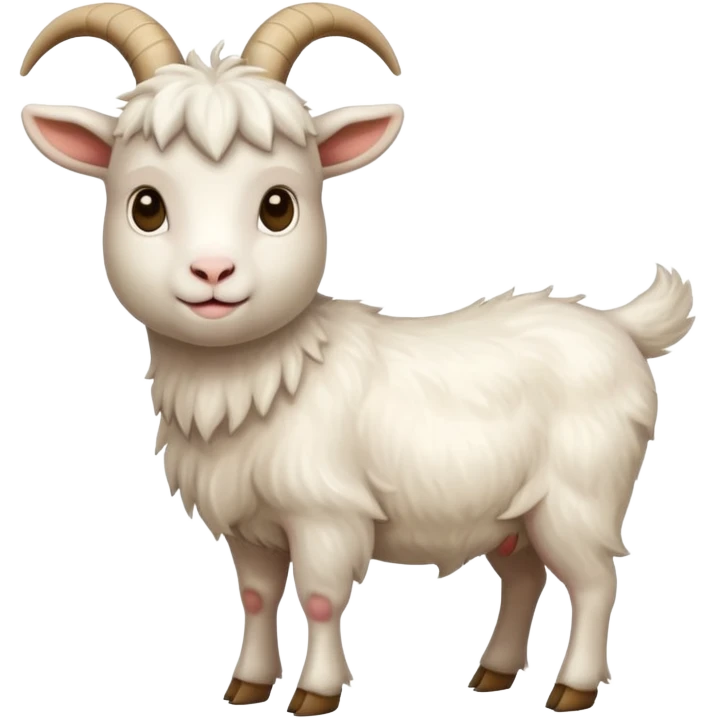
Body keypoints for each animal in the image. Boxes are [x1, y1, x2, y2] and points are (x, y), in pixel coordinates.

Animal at [19, 2, 695, 715]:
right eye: (145, 206)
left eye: (279, 206)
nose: (212, 273)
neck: (273, 372)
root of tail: (620, 325)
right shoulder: (250, 526)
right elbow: (255, 598)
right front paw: (246, 685)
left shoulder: (326, 513)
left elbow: (319, 599)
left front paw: (313, 694)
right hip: (512, 514)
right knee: (524, 577)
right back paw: (492, 673)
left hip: (580, 493)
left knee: (594, 580)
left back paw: (571, 687)